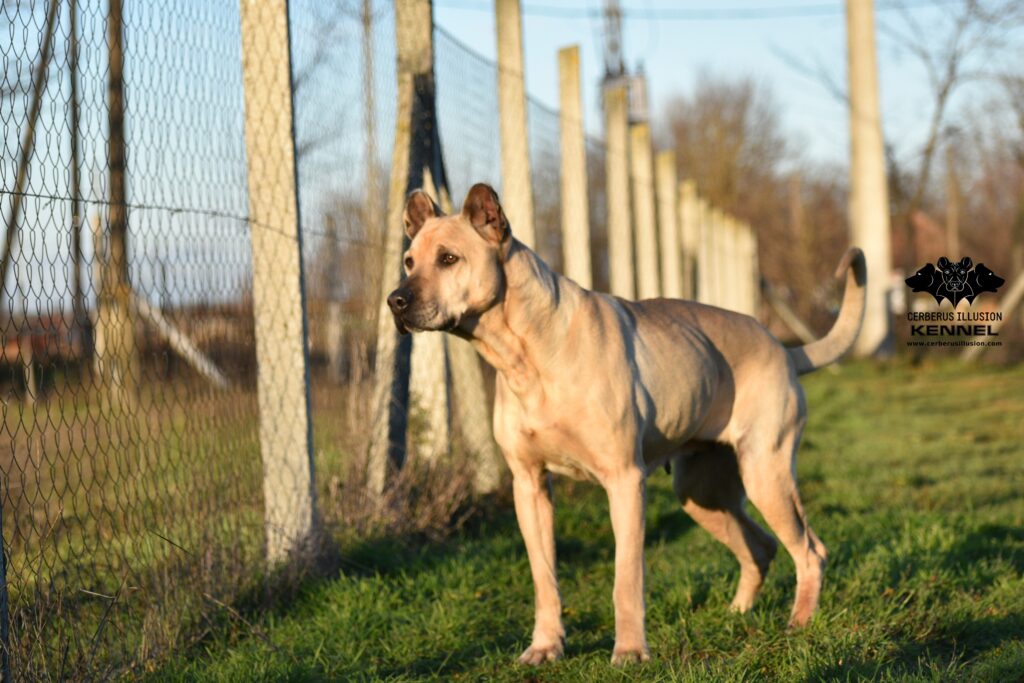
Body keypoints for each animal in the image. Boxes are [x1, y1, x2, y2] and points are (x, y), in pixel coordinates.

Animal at [387, 184, 868, 663]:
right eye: (409, 261)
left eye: (449, 258)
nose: (395, 300)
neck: (523, 353)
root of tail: (784, 349)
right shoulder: (529, 486)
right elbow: (544, 579)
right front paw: (546, 645)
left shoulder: (624, 482)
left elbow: (626, 578)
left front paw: (631, 650)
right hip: (701, 493)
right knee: (762, 547)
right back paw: (738, 612)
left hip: (766, 473)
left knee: (810, 551)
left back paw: (798, 623)